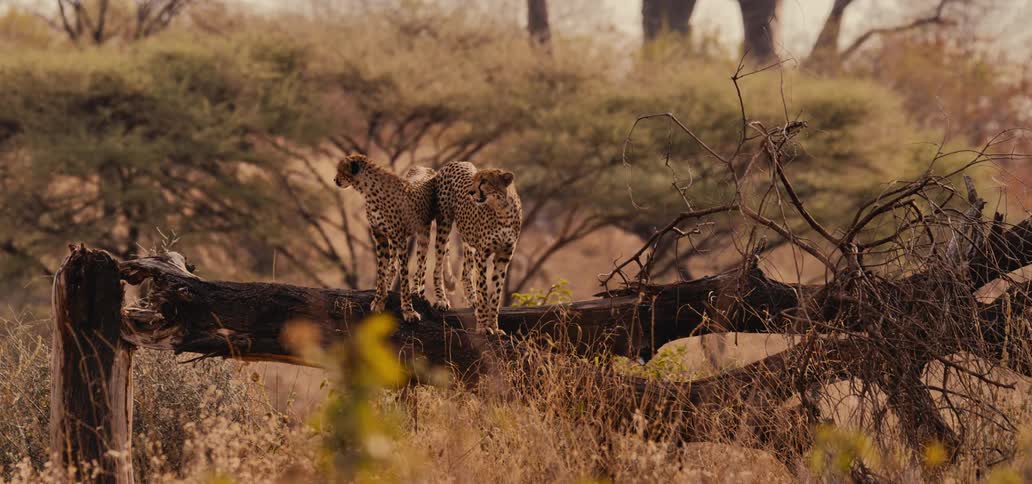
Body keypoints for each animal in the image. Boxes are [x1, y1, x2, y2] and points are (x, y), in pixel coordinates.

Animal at [334, 154, 435, 322]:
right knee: (393, 267)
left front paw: (408, 310)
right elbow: (381, 270)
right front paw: (379, 300)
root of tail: (427, 168)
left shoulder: (400, 239)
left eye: (341, 170)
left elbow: (404, 277)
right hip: (393, 239)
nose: (335, 180)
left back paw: (419, 293)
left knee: (422, 265)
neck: (368, 190)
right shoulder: (380, 236)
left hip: (423, 234)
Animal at [431, 161, 522, 333]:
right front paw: (483, 327)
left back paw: (472, 299)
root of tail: (454, 162)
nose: (471, 192)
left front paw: (494, 326)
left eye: (484, 181)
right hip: (444, 224)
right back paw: (441, 299)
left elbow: (496, 293)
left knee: (465, 272)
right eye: (474, 181)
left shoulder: (504, 256)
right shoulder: (482, 254)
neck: (502, 210)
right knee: (438, 265)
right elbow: (483, 290)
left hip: (468, 242)